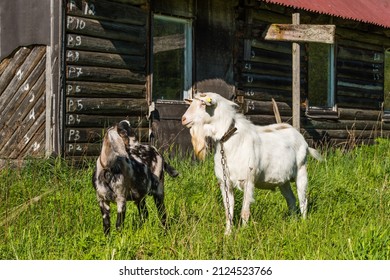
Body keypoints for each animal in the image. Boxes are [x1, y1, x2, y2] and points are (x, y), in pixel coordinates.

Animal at [181, 92, 322, 234]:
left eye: (203, 104)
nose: (183, 119)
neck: (231, 140)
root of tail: (303, 140)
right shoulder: (225, 183)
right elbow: (228, 211)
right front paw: (227, 233)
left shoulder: (248, 181)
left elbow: (245, 211)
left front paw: (243, 232)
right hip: (284, 181)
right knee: (291, 199)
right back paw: (293, 222)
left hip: (301, 171)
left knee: (303, 200)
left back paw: (303, 223)